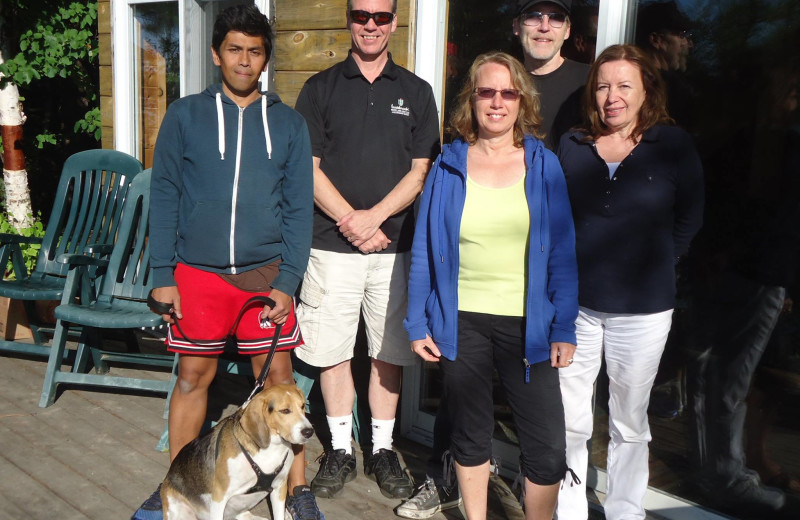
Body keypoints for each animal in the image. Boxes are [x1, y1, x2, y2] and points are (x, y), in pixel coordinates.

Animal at [162, 382, 312, 520]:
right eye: (285, 411)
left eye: (302, 406)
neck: (271, 448)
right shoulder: (220, 495)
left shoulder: (279, 488)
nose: (309, 432)